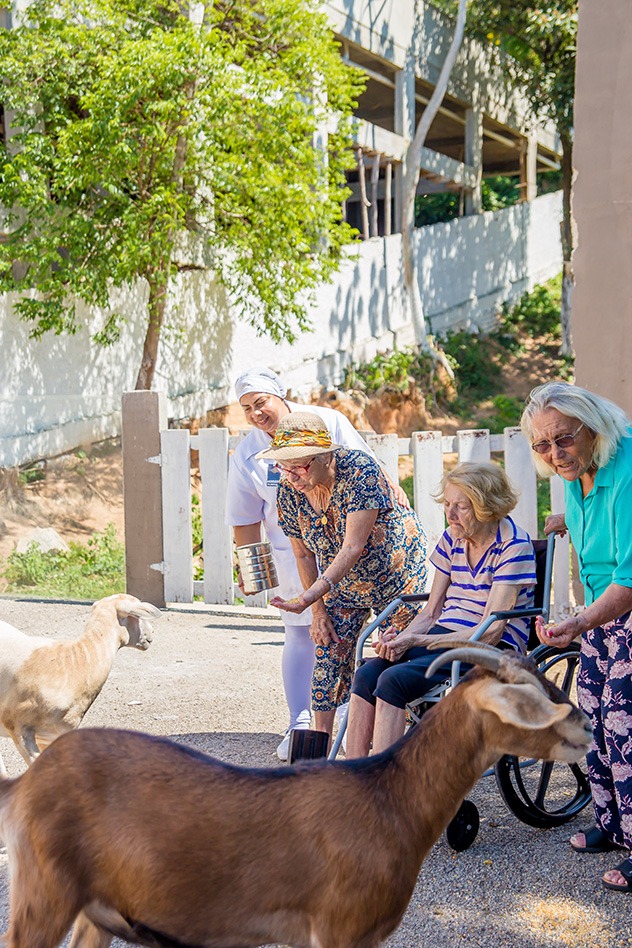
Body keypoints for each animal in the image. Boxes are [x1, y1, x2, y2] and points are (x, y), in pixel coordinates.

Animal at [0, 640, 592, 944]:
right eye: (536, 698)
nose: (586, 725)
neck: (389, 802)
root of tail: (25, 782)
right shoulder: (339, 928)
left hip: (94, 908)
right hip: (46, 891)